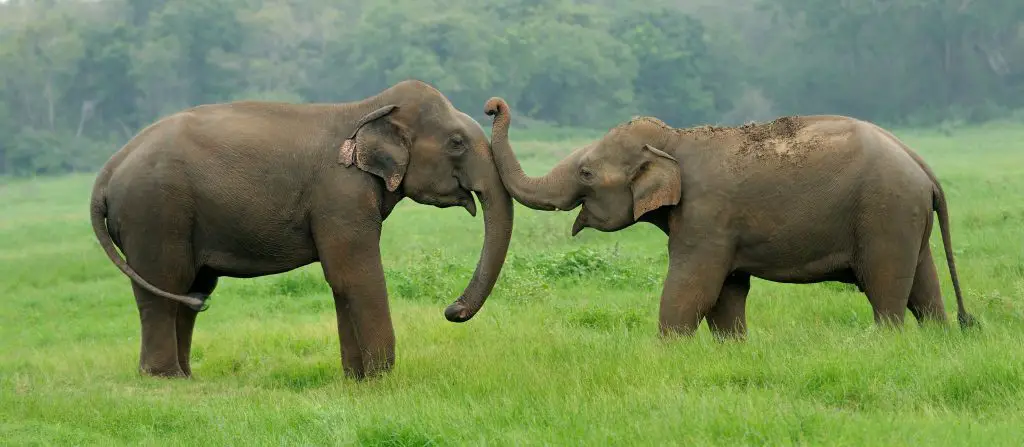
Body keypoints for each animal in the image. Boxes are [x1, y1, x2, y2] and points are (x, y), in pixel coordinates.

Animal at [92, 80, 516, 380]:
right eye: (457, 143)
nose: (452, 310)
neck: (367, 108)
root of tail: (108, 170)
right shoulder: (339, 194)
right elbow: (354, 274)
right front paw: (382, 378)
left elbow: (342, 280)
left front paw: (356, 380)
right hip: (154, 213)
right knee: (166, 283)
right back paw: (164, 379)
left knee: (193, 290)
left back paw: (185, 375)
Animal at [477, 96, 974, 337]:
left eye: (585, 172)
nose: (492, 105)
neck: (674, 141)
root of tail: (920, 162)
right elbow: (727, 293)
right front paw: (732, 348)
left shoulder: (706, 215)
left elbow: (693, 286)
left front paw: (664, 351)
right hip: (906, 217)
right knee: (923, 287)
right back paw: (939, 340)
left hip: (885, 213)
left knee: (887, 287)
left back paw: (886, 342)